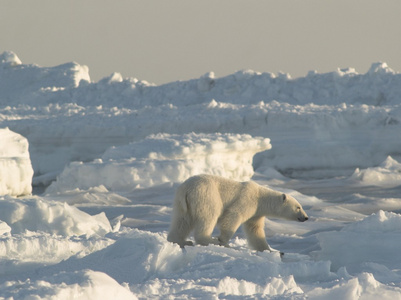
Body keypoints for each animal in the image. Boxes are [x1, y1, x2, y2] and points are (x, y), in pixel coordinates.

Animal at [167, 175, 308, 252]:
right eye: (298, 207)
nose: (306, 217)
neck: (260, 197)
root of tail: (186, 189)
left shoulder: (256, 213)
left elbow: (254, 230)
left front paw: (270, 250)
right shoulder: (247, 200)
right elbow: (233, 215)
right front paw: (223, 240)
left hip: (183, 203)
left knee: (182, 221)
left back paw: (182, 241)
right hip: (206, 195)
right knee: (209, 216)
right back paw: (210, 240)